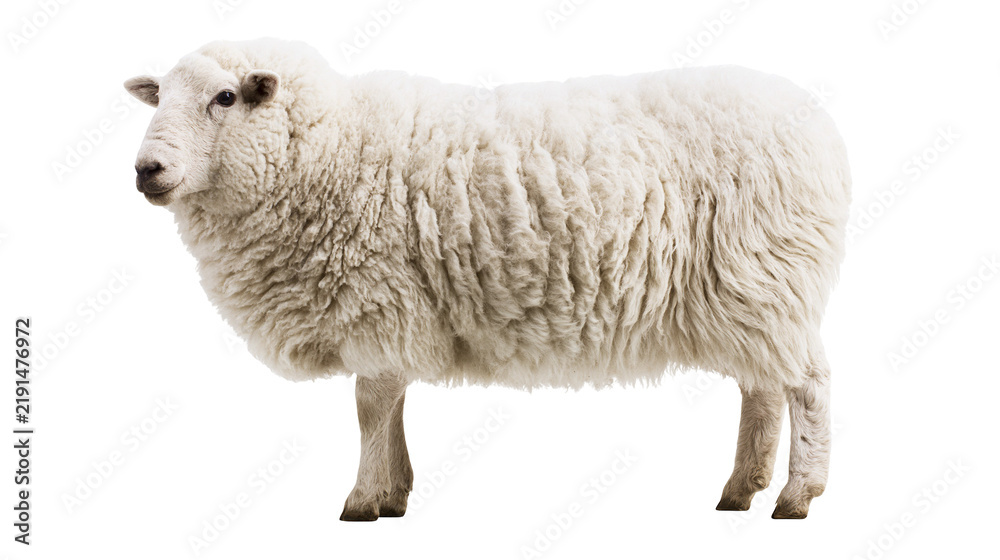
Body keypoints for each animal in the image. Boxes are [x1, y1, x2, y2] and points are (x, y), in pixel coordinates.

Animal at [125, 38, 851, 521]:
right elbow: (392, 403)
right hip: (748, 292)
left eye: (225, 97)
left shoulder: (377, 303)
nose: (146, 170)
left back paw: (797, 495)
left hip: (769, 274)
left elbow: (368, 407)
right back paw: (741, 488)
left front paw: (362, 500)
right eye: (158, 97)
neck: (331, 150)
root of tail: (819, 124)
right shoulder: (398, 314)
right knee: (762, 388)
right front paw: (396, 492)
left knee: (808, 386)